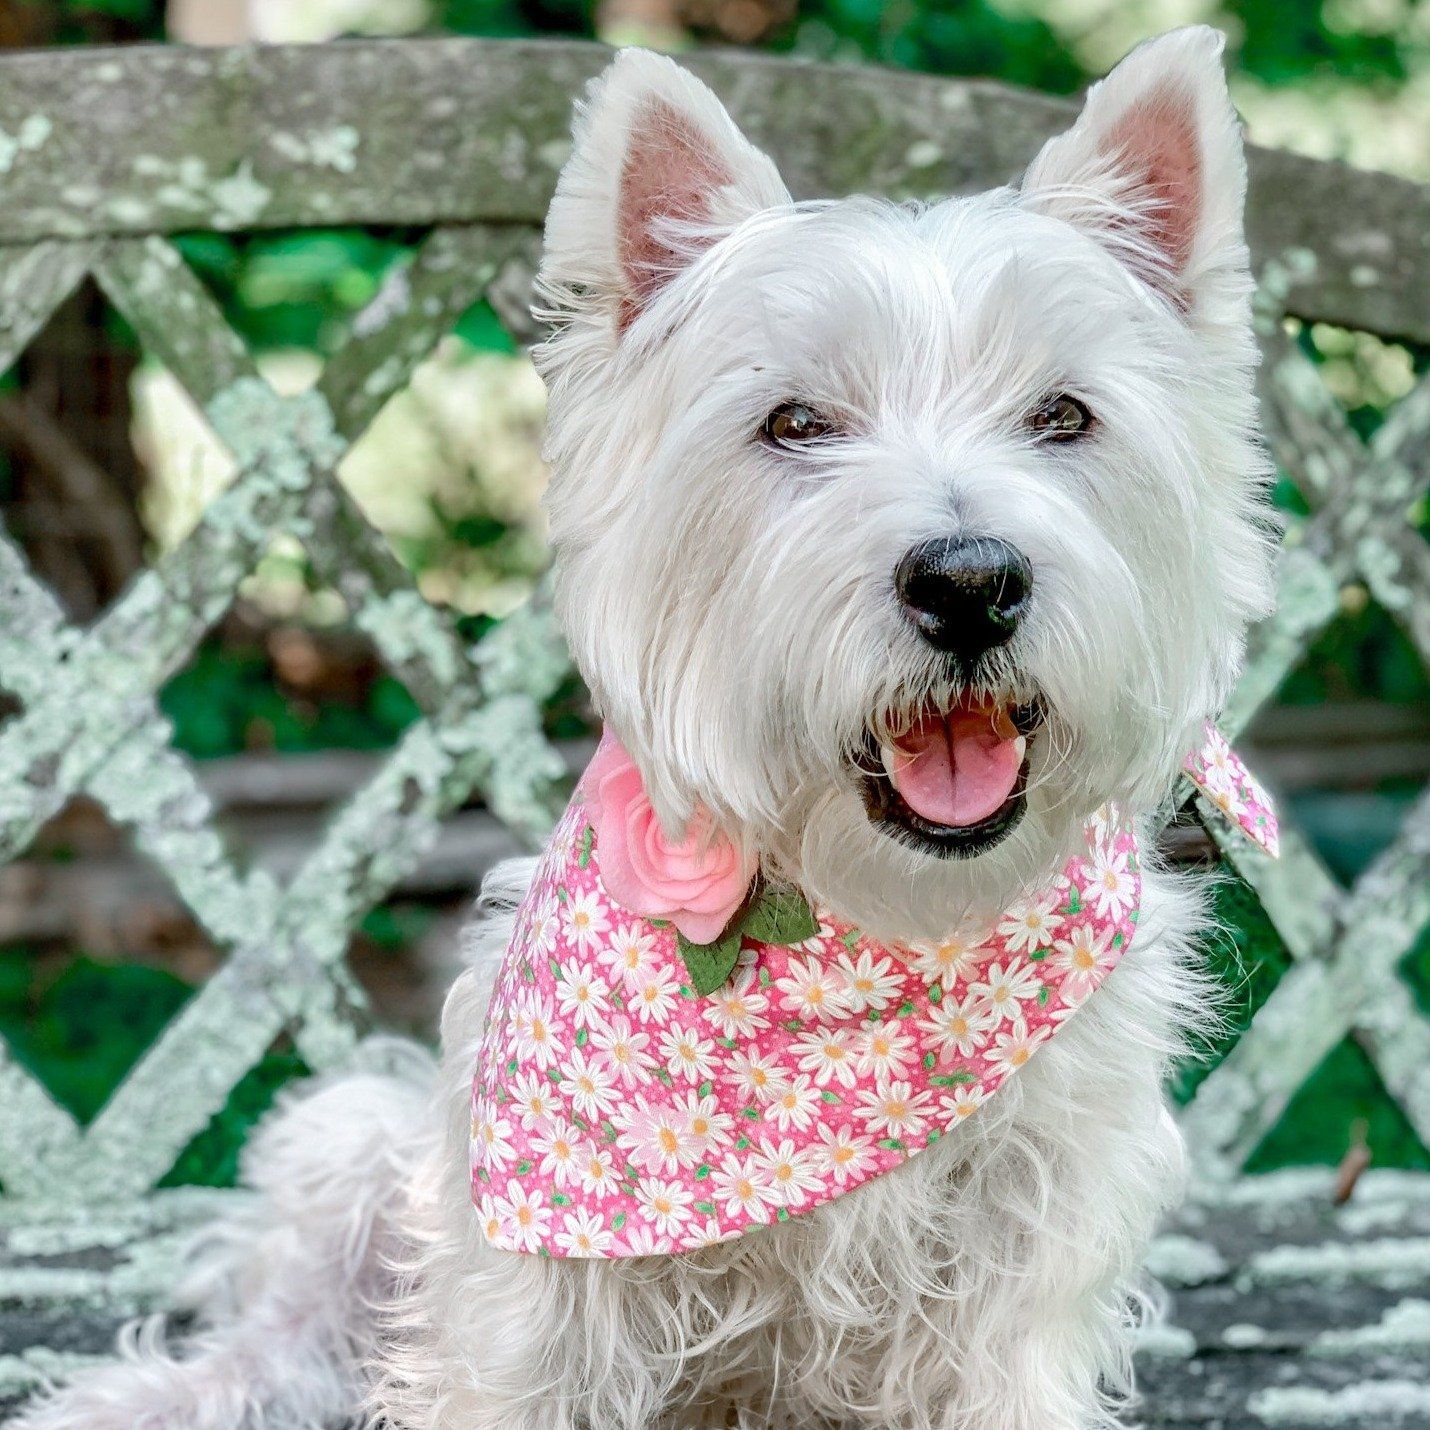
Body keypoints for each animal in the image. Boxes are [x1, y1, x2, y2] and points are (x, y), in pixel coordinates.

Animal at [19, 25, 1275, 1430]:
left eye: (1062, 415)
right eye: (792, 421)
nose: (968, 581)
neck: (868, 928)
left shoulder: (1033, 1231)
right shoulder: (534, 1259)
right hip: (361, 1142)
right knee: (285, 1323)